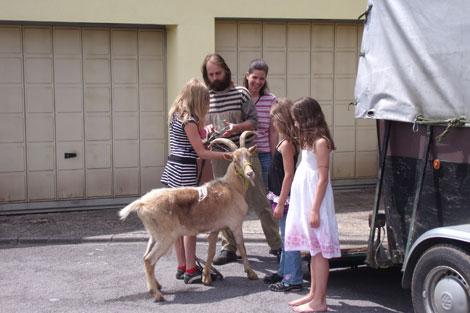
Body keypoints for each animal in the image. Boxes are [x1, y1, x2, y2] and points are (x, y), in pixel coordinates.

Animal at [117, 130, 258, 302]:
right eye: (235, 160)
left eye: (249, 156)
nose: (250, 173)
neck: (232, 187)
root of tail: (141, 203)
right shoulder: (236, 224)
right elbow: (242, 247)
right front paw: (251, 273)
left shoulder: (215, 228)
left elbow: (211, 251)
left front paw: (206, 277)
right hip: (166, 236)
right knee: (149, 260)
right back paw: (157, 294)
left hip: (154, 235)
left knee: (145, 257)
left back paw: (157, 286)